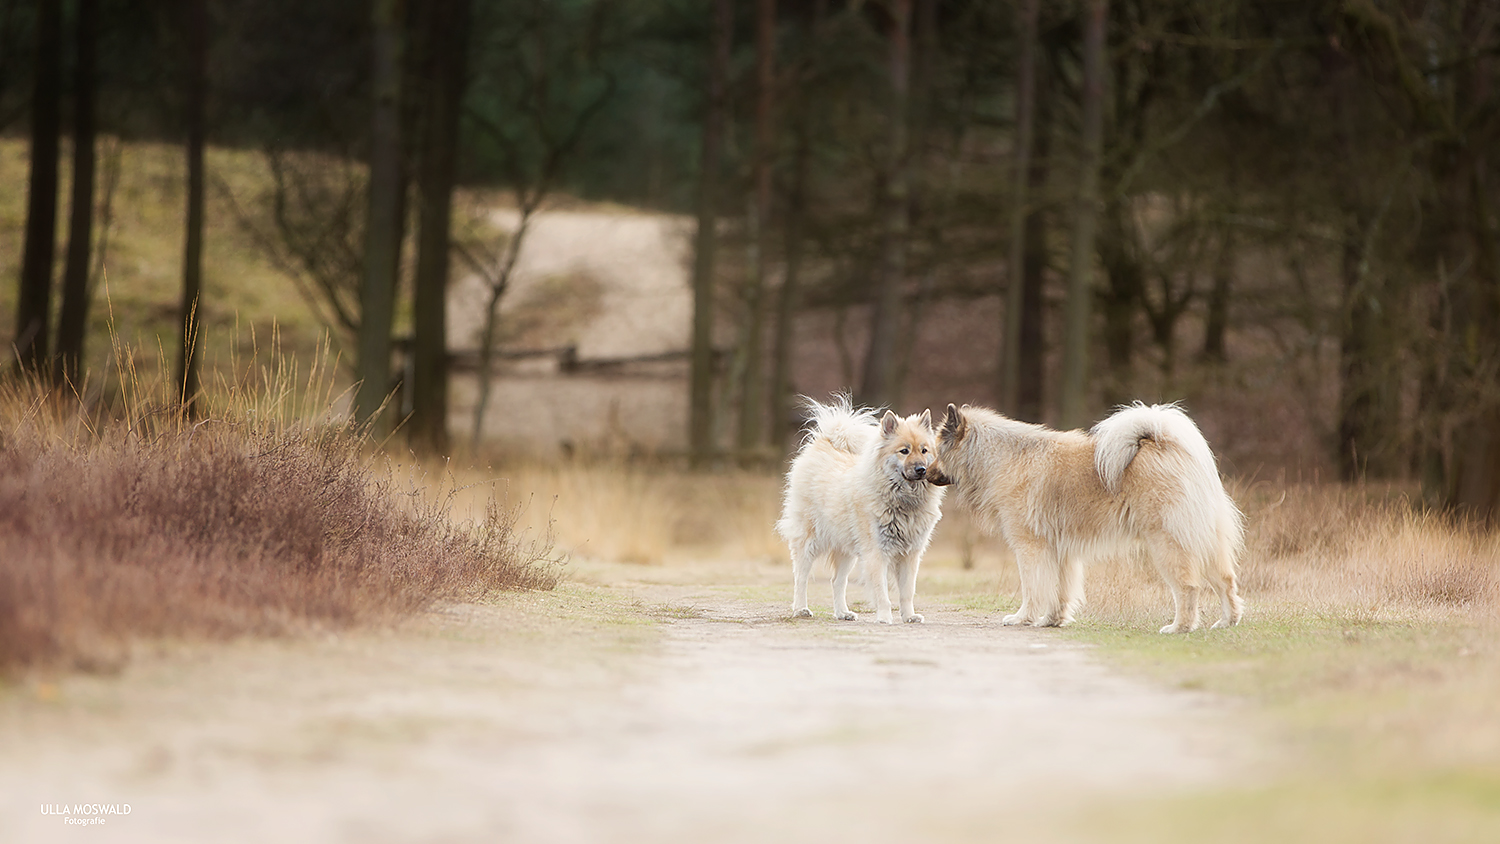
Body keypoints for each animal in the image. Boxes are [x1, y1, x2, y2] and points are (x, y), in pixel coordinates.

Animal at [780, 395, 942, 620]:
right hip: (809, 541)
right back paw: (800, 609)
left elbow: (907, 592)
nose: (921, 469)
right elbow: (882, 591)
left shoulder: (910, 555)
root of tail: (824, 442)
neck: (901, 498)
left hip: (846, 549)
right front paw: (884, 617)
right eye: (904, 451)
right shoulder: (876, 553)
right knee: (801, 578)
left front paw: (909, 616)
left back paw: (842, 612)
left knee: (837, 582)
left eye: (924, 450)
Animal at [936, 401, 1242, 635]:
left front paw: (1023, 618)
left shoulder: (1030, 546)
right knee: (1225, 580)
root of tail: (1165, 444)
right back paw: (1227, 622)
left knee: (1188, 587)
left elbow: (1033, 587)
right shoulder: (1060, 550)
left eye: (933, 450)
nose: (924, 472)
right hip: (1205, 540)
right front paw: (1052, 620)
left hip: (1167, 542)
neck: (997, 457)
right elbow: (1059, 591)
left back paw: (1179, 627)